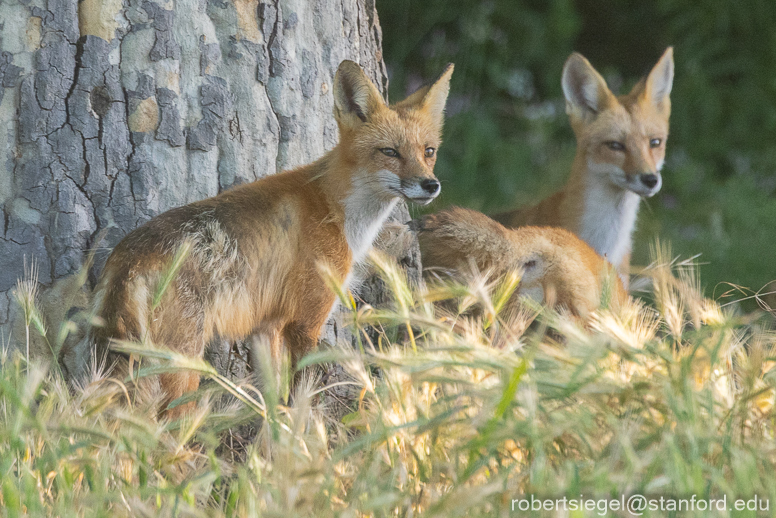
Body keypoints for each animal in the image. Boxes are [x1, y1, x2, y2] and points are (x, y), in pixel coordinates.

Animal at [76, 60, 454, 416]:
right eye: (390, 152)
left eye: (429, 151)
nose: (431, 185)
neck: (337, 210)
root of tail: (128, 260)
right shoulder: (305, 323)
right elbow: (303, 401)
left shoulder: (266, 328)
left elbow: (274, 407)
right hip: (180, 368)